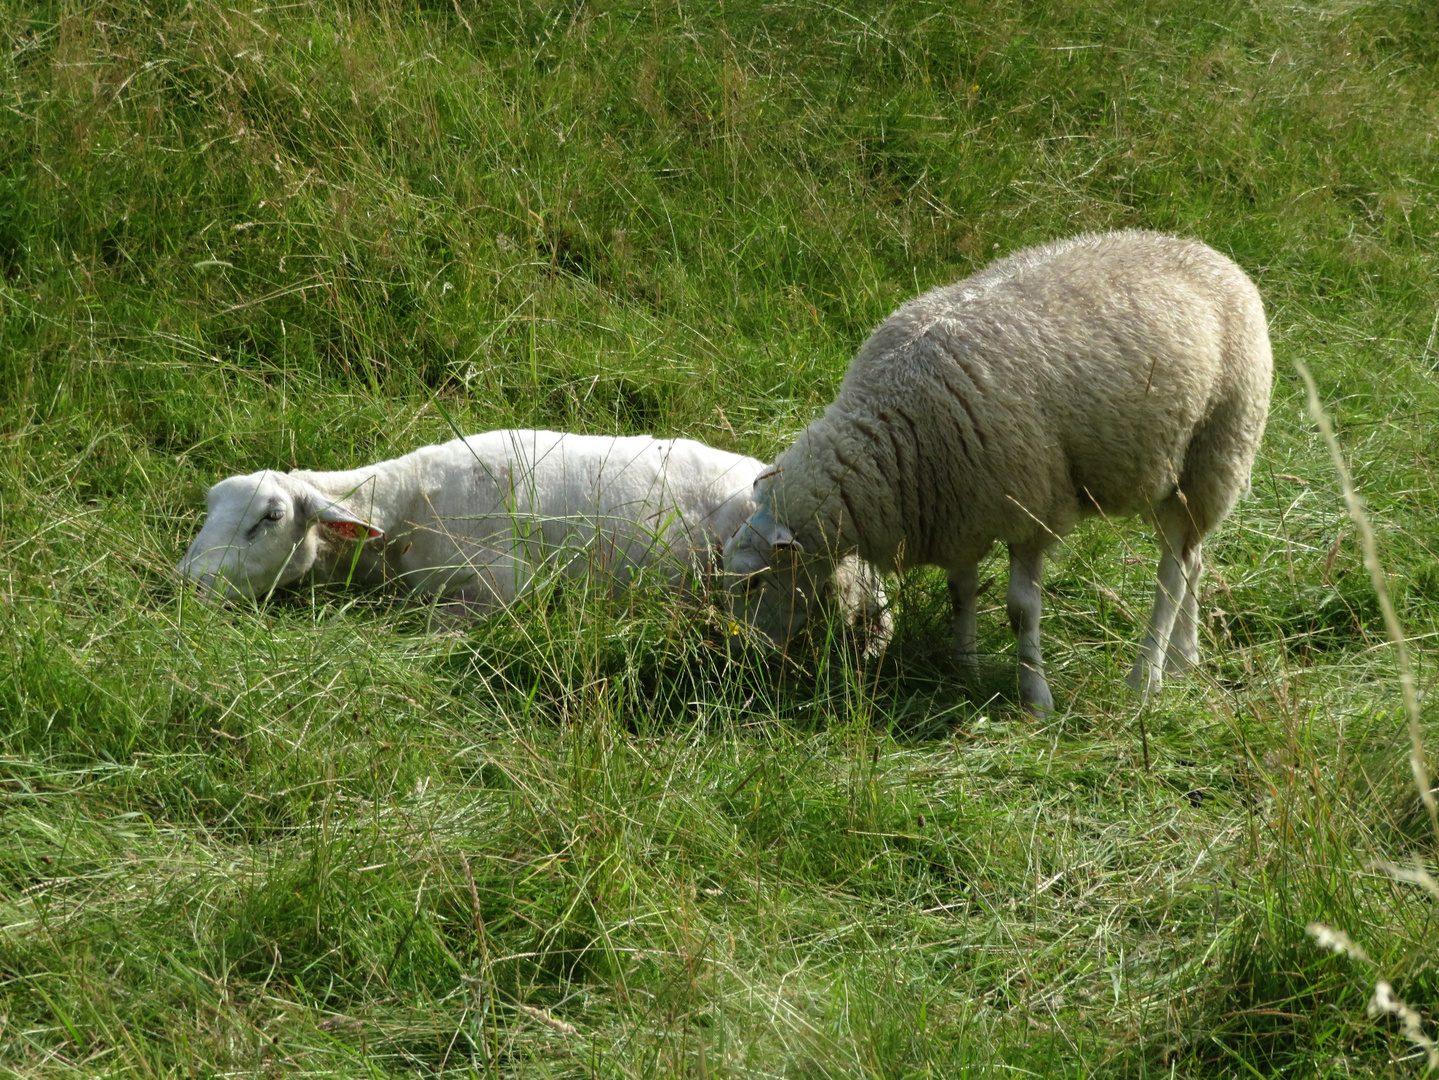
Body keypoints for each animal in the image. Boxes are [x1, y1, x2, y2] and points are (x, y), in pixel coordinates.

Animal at [725, 232, 1277, 713]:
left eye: (754, 584)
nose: (740, 659)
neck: (891, 427)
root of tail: (1206, 250)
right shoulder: (957, 511)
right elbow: (960, 595)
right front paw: (963, 671)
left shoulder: (1032, 507)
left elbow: (1021, 611)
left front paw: (1036, 699)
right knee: (1192, 563)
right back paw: (1185, 661)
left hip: (1214, 455)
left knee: (1171, 576)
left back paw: (1146, 679)